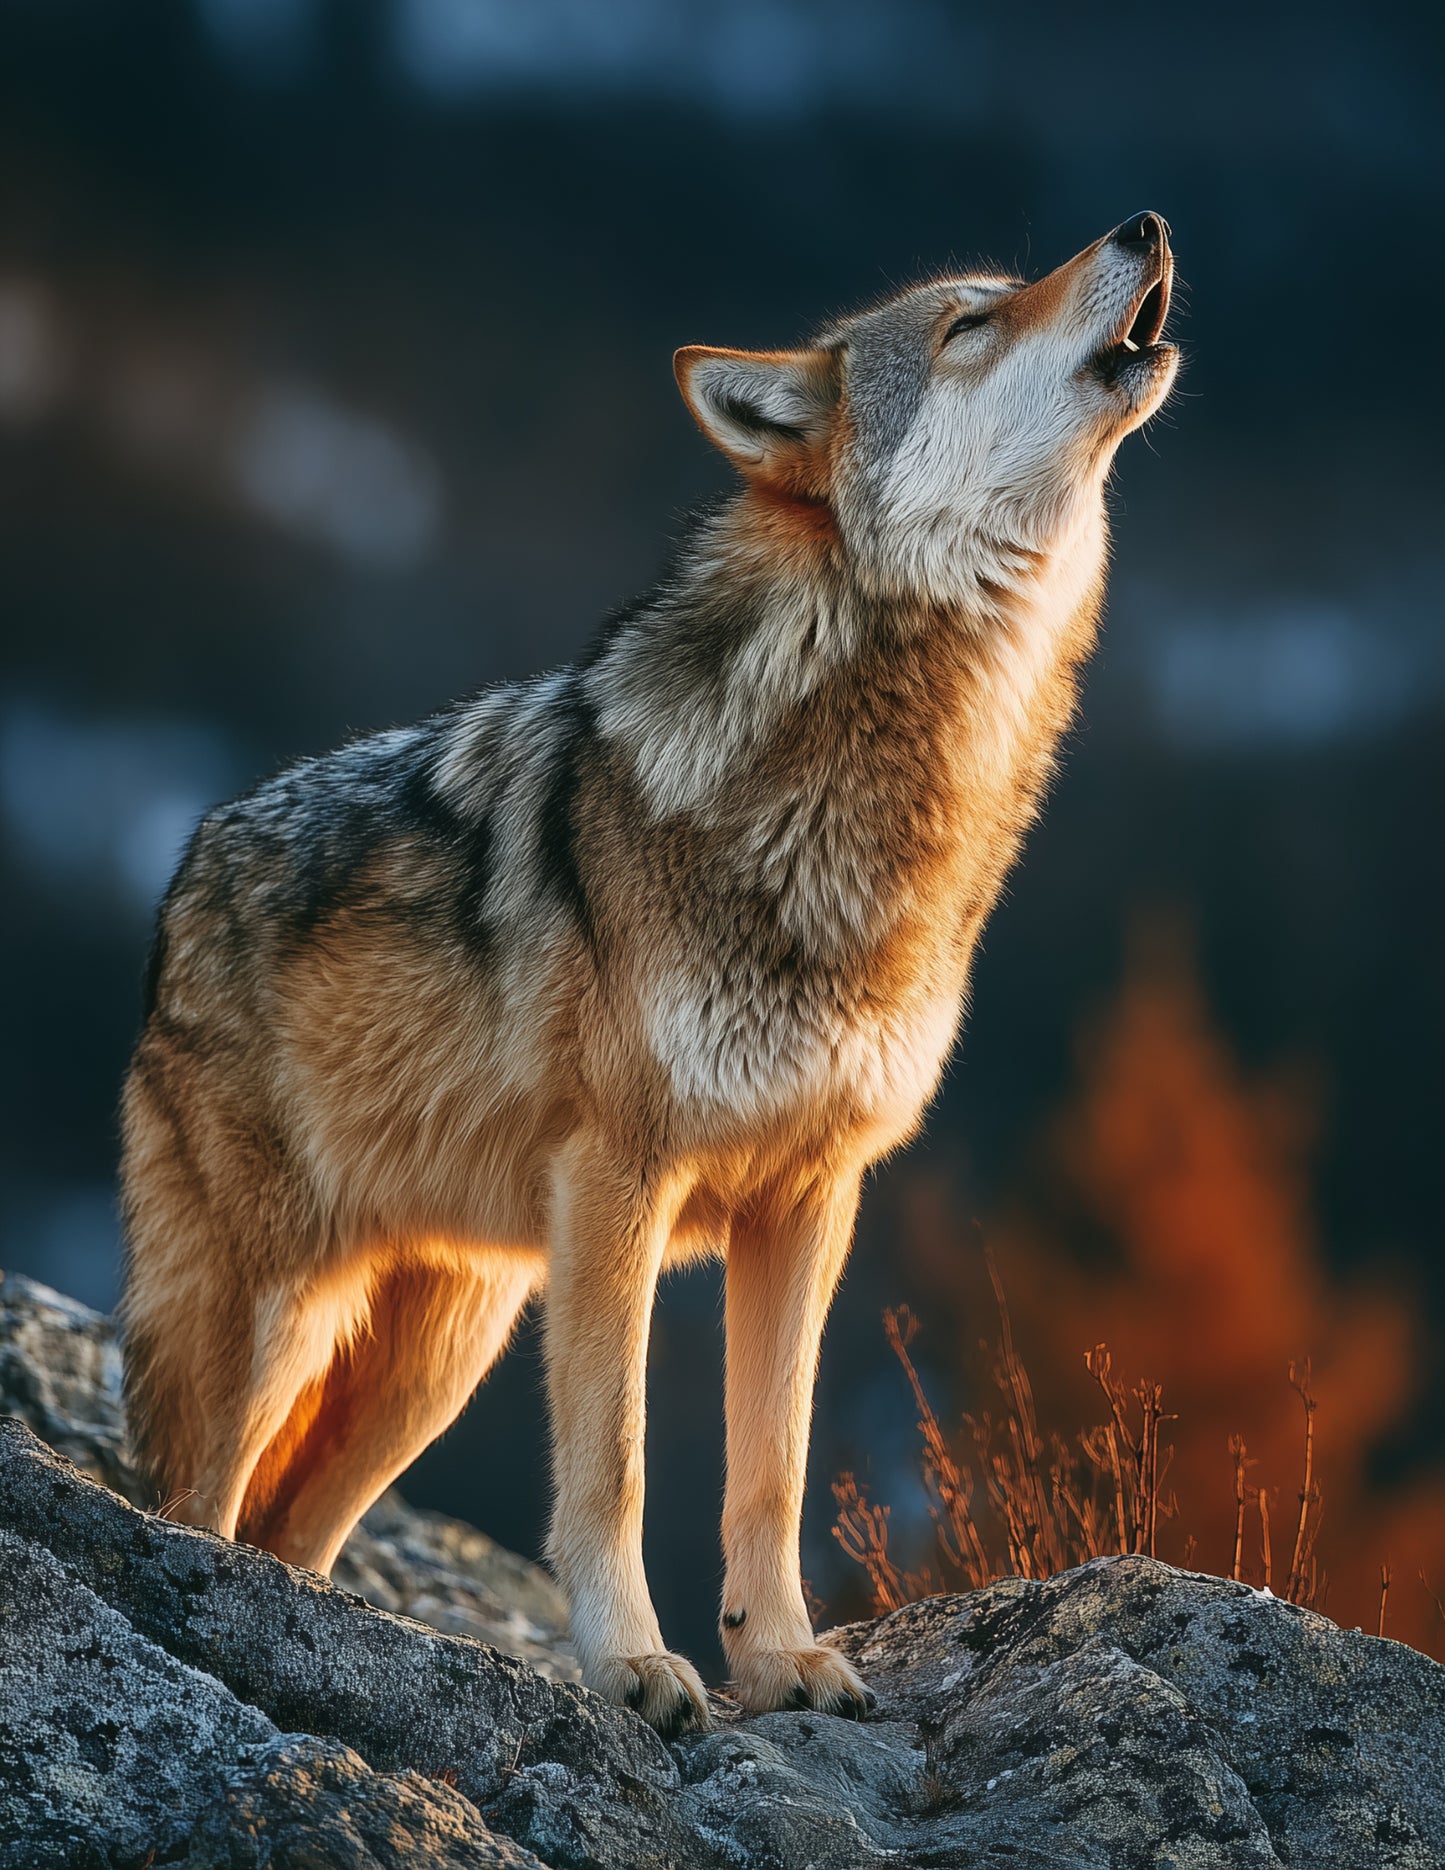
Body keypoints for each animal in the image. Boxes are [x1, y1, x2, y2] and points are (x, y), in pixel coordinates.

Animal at [120, 213, 1178, 1735]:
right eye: (970, 323)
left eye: (996, 295)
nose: (1141, 227)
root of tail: (186, 871)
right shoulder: (625, 1172)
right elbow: (613, 1460)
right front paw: (632, 1664)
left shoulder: (811, 1197)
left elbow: (772, 1464)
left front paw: (778, 1659)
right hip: (283, 1321)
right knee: (196, 1503)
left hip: (439, 1355)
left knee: (288, 1527)